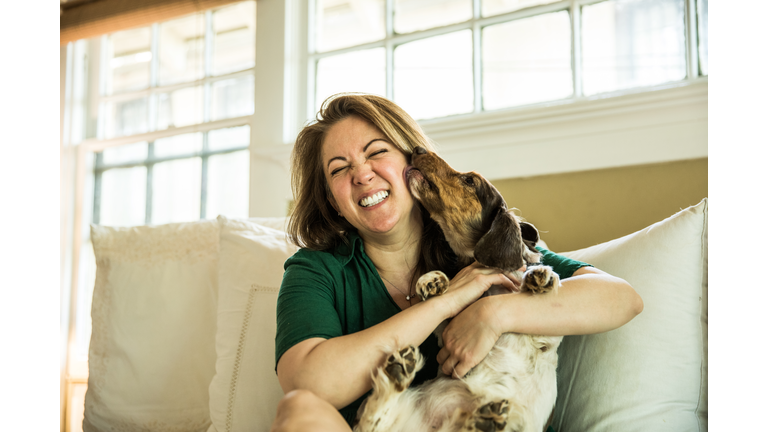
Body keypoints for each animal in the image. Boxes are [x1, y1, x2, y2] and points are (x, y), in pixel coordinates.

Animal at [354, 146, 564, 432]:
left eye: (470, 181)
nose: (417, 149)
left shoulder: (548, 340)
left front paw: (541, 277)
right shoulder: (445, 332)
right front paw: (432, 280)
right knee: (375, 415)